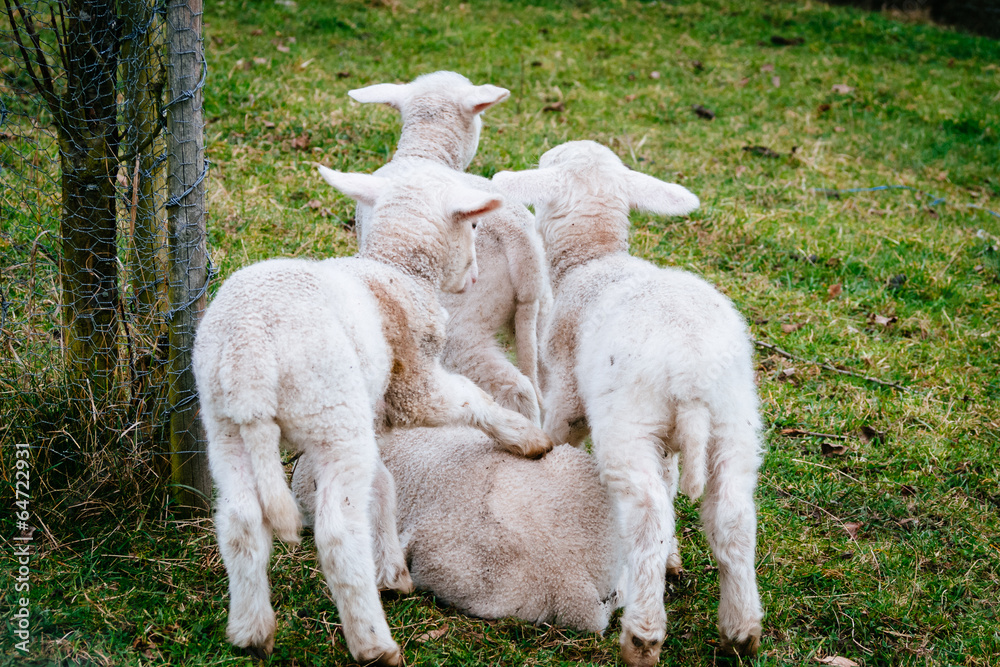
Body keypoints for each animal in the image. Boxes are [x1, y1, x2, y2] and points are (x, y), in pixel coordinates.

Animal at [192, 164, 554, 667]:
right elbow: (468, 400)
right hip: (332, 412)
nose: (475, 277)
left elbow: (382, 483)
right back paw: (372, 643)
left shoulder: (372, 416)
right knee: (337, 534)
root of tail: (252, 355)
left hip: (226, 426)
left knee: (241, 521)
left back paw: (251, 630)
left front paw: (392, 569)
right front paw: (525, 438)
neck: (395, 269)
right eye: (473, 226)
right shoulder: (412, 386)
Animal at [492, 140, 765, 666]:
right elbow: (673, 480)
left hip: (629, 424)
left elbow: (560, 437)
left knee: (647, 518)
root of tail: (692, 371)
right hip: (734, 422)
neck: (592, 260)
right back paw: (741, 631)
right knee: (733, 518)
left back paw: (642, 635)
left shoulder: (568, 395)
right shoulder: (672, 440)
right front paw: (678, 557)